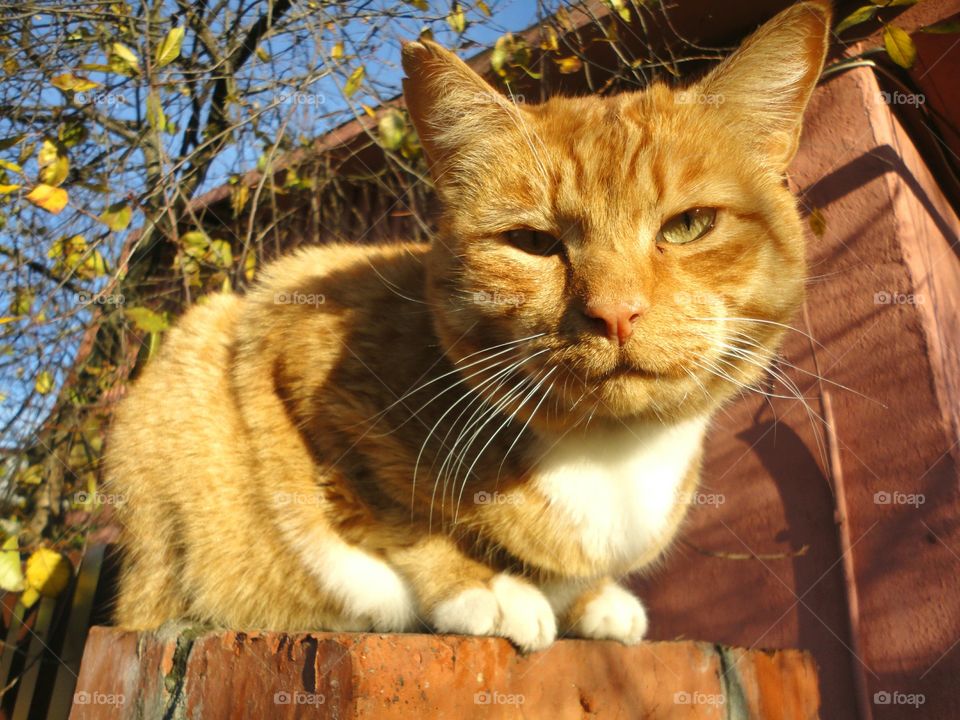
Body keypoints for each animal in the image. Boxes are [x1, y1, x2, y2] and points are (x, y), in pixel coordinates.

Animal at [103, 1, 824, 652]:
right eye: (532, 242)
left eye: (688, 225)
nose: (615, 312)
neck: (612, 451)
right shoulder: (283, 339)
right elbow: (391, 514)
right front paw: (485, 586)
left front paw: (593, 601)